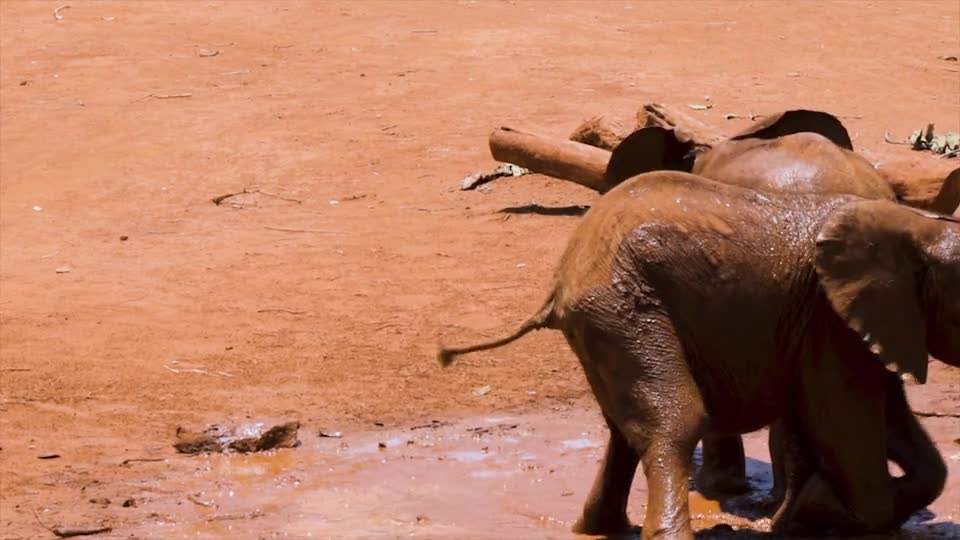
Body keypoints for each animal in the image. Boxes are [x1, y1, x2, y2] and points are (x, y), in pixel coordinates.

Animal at [436, 172, 960, 540]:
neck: (918, 229)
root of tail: (562, 276)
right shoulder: (828, 320)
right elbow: (844, 426)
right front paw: (817, 511)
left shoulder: (866, 323)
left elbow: (897, 426)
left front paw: (802, 516)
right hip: (624, 308)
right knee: (675, 421)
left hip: (605, 322)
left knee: (625, 430)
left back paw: (596, 528)